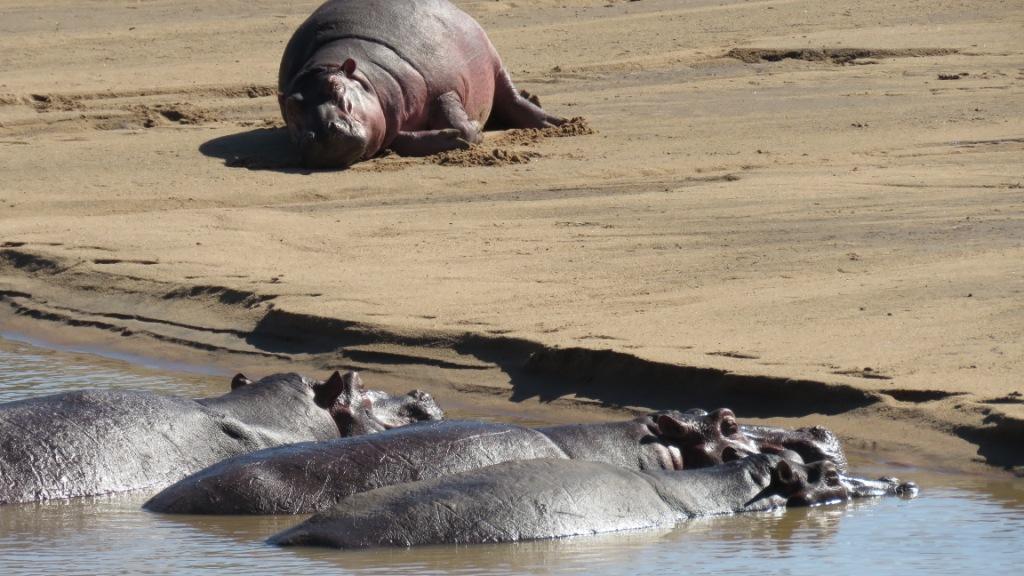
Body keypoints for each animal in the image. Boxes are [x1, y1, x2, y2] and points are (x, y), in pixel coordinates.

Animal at [278, 0, 569, 166]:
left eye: (335, 87)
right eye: (291, 107)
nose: (321, 133)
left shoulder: (443, 88)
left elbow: (460, 123)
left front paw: (469, 129)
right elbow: (398, 137)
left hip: (494, 60)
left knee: (512, 98)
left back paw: (556, 123)